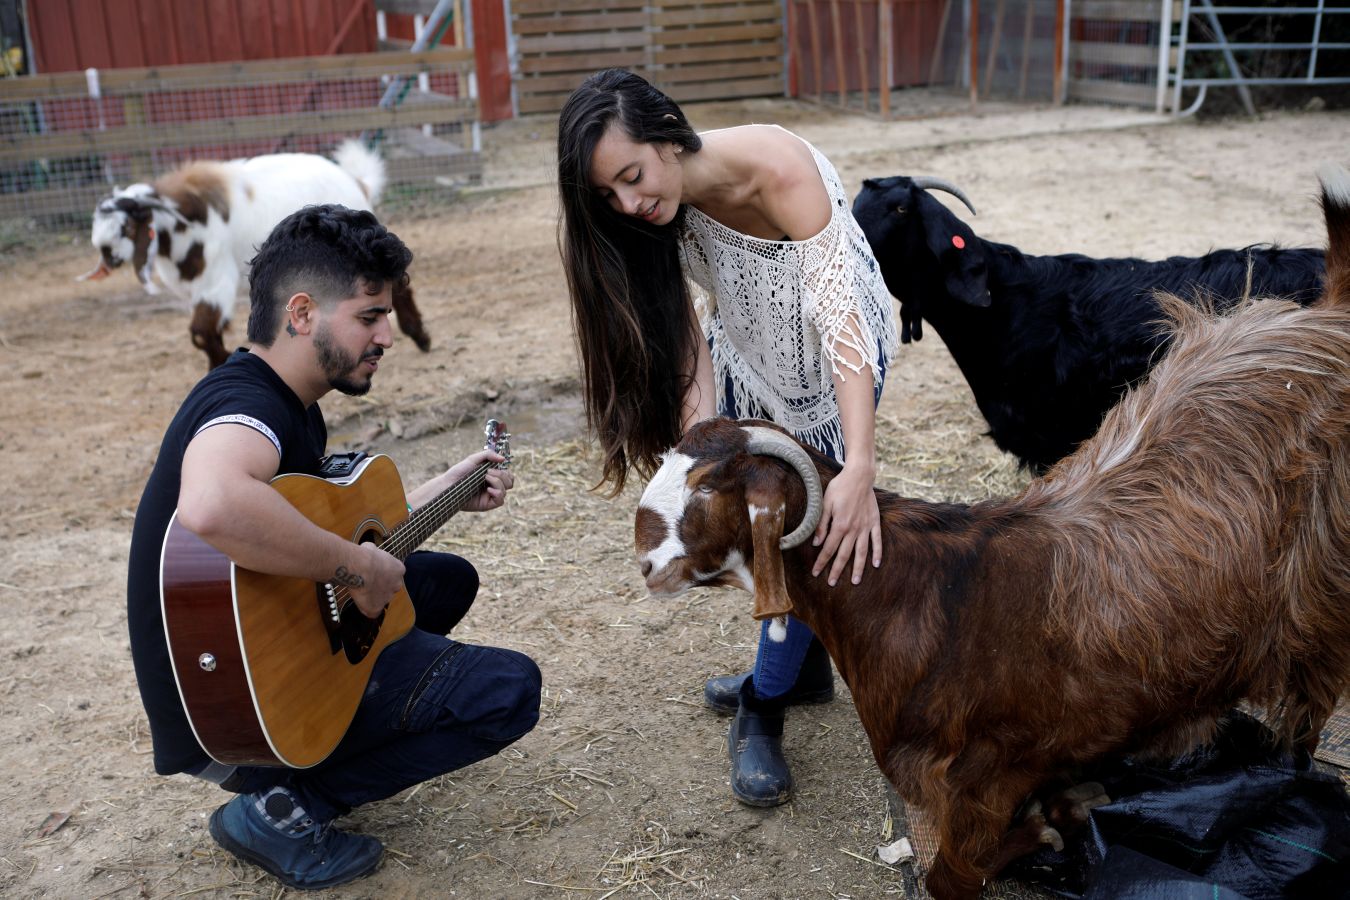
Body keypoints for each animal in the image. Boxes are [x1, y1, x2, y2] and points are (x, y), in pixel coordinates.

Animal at [80, 138, 426, 367]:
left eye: (126, 226)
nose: (107, 254)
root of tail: (354, 180)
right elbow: (207, 332)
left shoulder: (215, 279)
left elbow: (201, 332)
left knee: (398, 288)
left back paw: (421, 337)